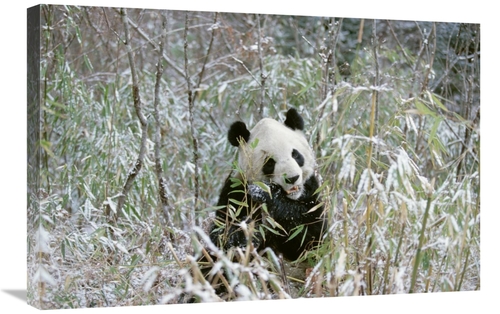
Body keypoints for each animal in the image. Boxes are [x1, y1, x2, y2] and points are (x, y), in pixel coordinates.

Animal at [209, 109, 326, 262]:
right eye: (270, 162)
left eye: (295, 155)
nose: (292, 178)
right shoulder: (236, 191)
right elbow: (220, 234)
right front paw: (244, 233)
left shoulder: (311, 191)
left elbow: (311, 236)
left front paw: (265, 193)